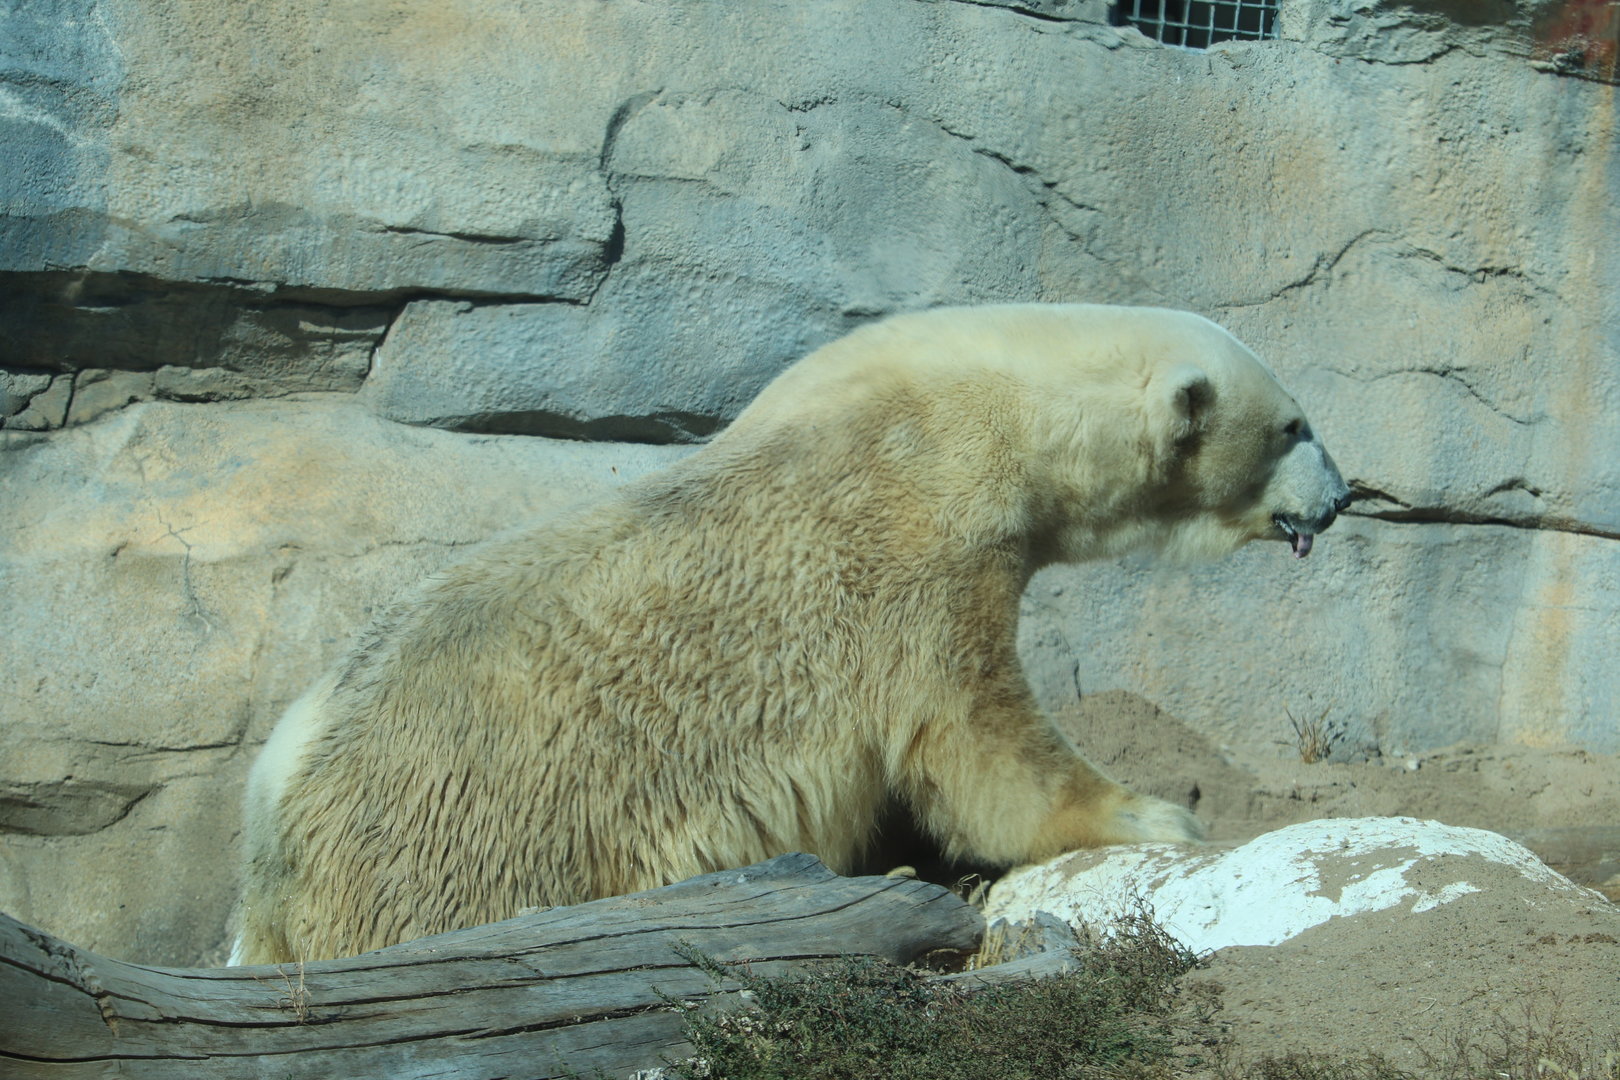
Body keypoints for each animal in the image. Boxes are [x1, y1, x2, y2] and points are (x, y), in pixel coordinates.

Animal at [231, 303, 1351, 965]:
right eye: (1293, 426)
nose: (1342, 499)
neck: (983, 404)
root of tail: (270, 829)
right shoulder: (917, 544)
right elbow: (974, 737)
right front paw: (1154, 812)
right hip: (467, 835)